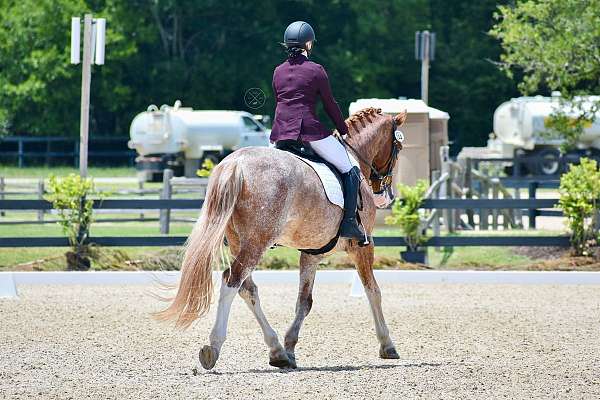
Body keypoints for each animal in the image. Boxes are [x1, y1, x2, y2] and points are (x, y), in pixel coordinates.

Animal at [155, 105, 408, 368]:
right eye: (398, 147)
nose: (386, 195)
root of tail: (235, 163)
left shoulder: (312, 253)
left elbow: (304, 302)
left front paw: (290, 347)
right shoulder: (363, 246)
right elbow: (373, 292)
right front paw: (387, 345)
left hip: (238, 242)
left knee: (248, 289)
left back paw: (277, 351)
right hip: (257, 242)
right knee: (231, 280)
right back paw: (213, 346)